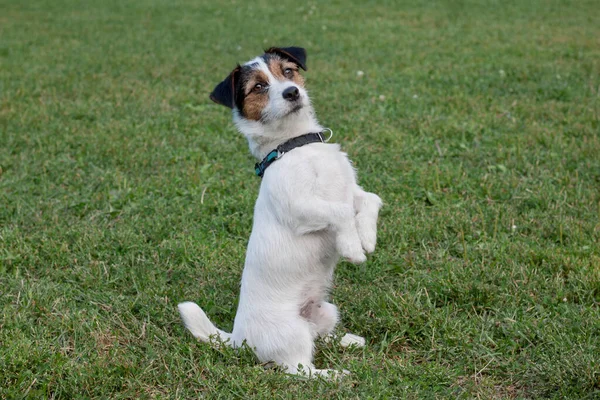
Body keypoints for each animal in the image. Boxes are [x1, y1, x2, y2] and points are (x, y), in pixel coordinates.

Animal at [178, 47, 382, 378]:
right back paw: (334, 376)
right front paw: (352, 248)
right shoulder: (299, 208)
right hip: (291, 332)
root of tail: (238, 338)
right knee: (298, 369)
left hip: (325, 310)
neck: (297, 144)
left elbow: (371, 200)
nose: (292, 92)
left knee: (320, 336)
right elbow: (340, 211)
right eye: (259, 86)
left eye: (287, 71)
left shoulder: (352, 190)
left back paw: (348, 340)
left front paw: (367, 237)